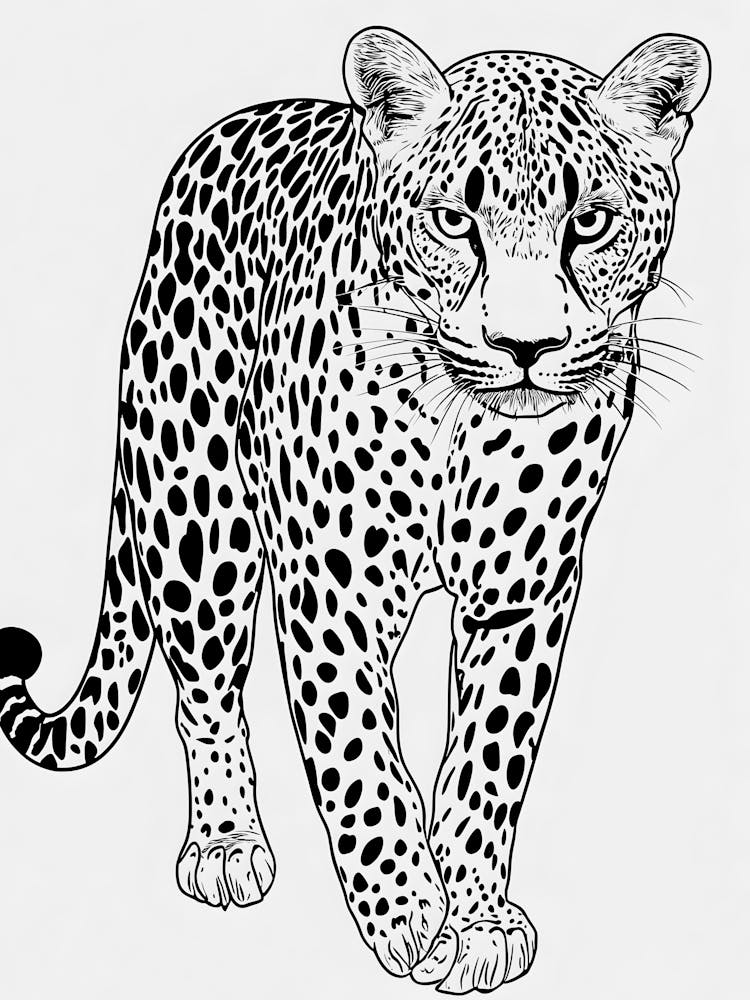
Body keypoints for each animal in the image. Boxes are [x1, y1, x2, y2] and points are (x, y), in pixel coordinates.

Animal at [0, 26, 709, 993]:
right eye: (455, 221)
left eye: (589, 223)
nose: (524, 346)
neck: (463, 431)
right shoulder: (329, 585)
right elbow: (359, 751)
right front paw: (407, 912)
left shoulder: (526, 591)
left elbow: (487, 764)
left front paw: (473, 920)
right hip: (196, 514)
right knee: (207, 691)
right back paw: (226, 842)